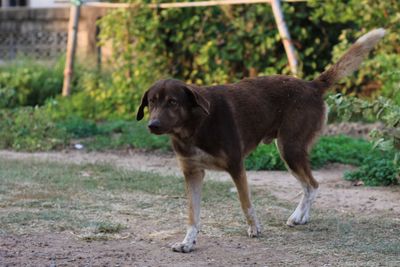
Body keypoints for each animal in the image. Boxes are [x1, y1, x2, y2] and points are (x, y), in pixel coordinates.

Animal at [137, 29, 384, 253]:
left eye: (172, 102)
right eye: (151, 102)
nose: (153, 125)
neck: (194, 127)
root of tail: (312, 85)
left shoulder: (236, 166)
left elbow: (245, 202)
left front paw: (254, 228)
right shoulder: (192, 173)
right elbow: (192, 214)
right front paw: (188, 242)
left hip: (289, 149)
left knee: (312, 185)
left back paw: (297, 216)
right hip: (290, 151)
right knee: (308, 185)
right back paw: (302, 217)